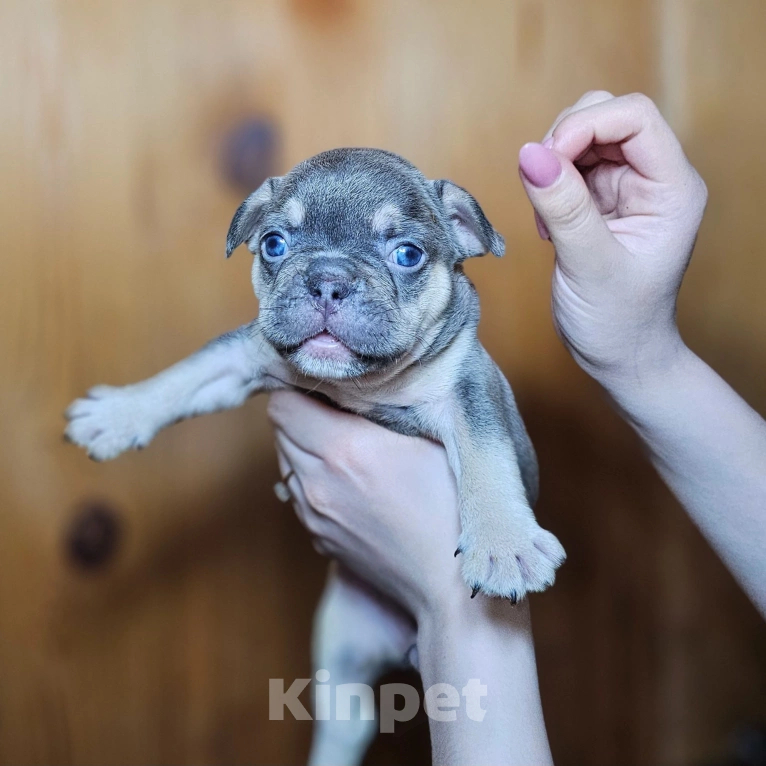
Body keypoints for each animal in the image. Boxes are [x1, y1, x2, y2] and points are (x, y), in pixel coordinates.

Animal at [66, 147, 568, 764]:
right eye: (274, 244)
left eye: (407, 254)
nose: (328, 279)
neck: (361, 386)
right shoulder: (245, 356)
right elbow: (187, 374)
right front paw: (119, 412)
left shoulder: (472, 388)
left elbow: (485, 454)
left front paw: (504, 544)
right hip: (341, 649)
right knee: (346, 722)